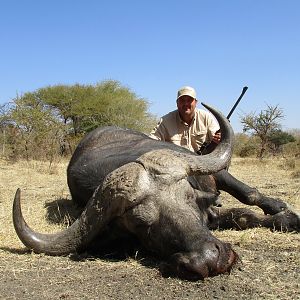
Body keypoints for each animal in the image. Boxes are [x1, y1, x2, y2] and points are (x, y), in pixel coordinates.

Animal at [13, 103, 300, 282]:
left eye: (188, 199)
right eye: (142, 224)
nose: (207, 259)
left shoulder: (212, 174)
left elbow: (248, 200)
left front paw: (287, 217)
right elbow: (240, 216)